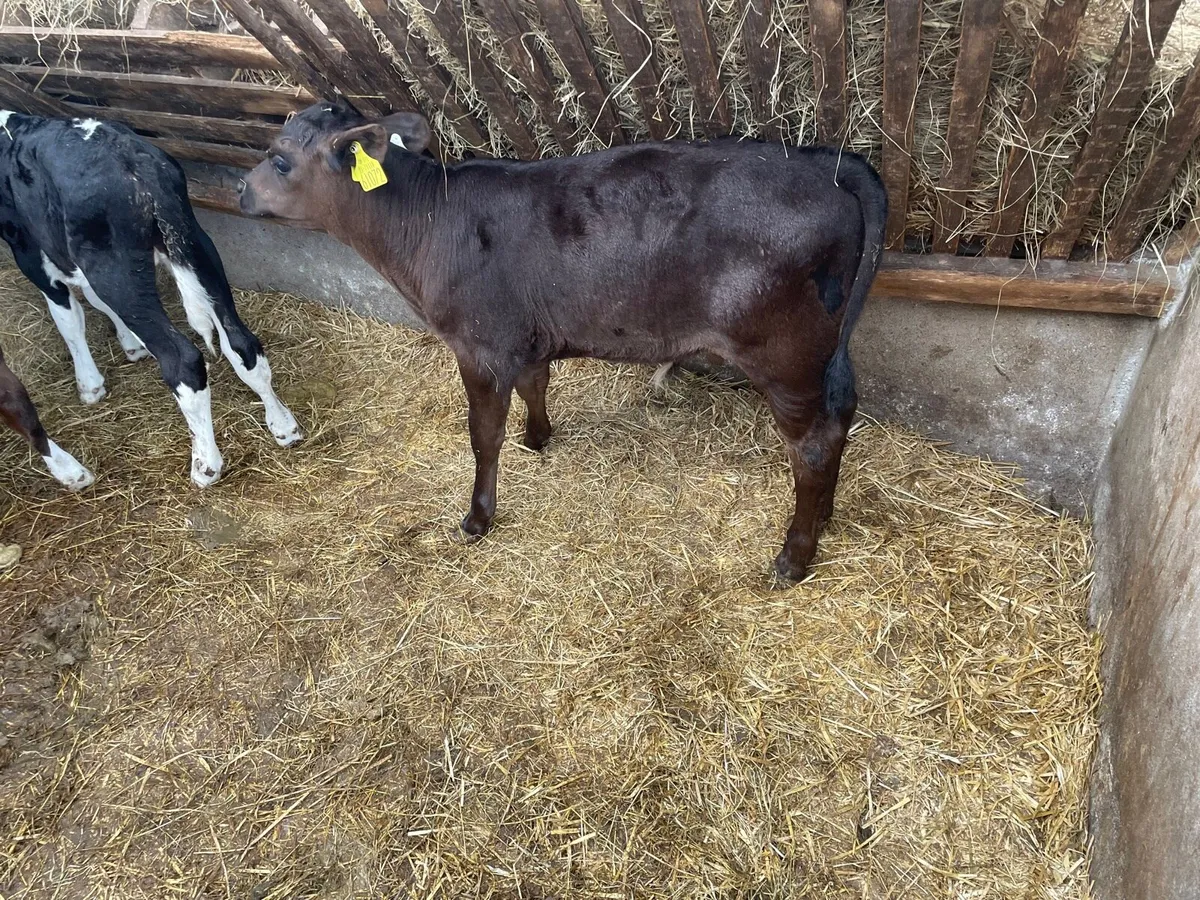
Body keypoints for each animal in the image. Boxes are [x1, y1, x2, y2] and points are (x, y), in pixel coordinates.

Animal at [0, 111, 302, 488]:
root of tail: (135, 160)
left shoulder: (30, 252)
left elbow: (69, 321)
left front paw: (90, 384)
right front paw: (130, 344)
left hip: (114, 267)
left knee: (183, 360)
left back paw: (206, 465)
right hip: (196, 246)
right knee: (242, 345)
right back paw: (283, 425)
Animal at [239, 102, 886, 581]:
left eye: (279, 160)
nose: (240, 190)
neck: (429, 220)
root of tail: (825, 164)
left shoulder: (479, 345)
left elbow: (483, 437)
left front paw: (478, 517)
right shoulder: (527, 335)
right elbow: (536, 384)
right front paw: (538, 438)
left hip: (782, 353)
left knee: (812, 446)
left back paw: (795, 555)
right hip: (825, 352)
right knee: (840, 417)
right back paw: (824, 518)